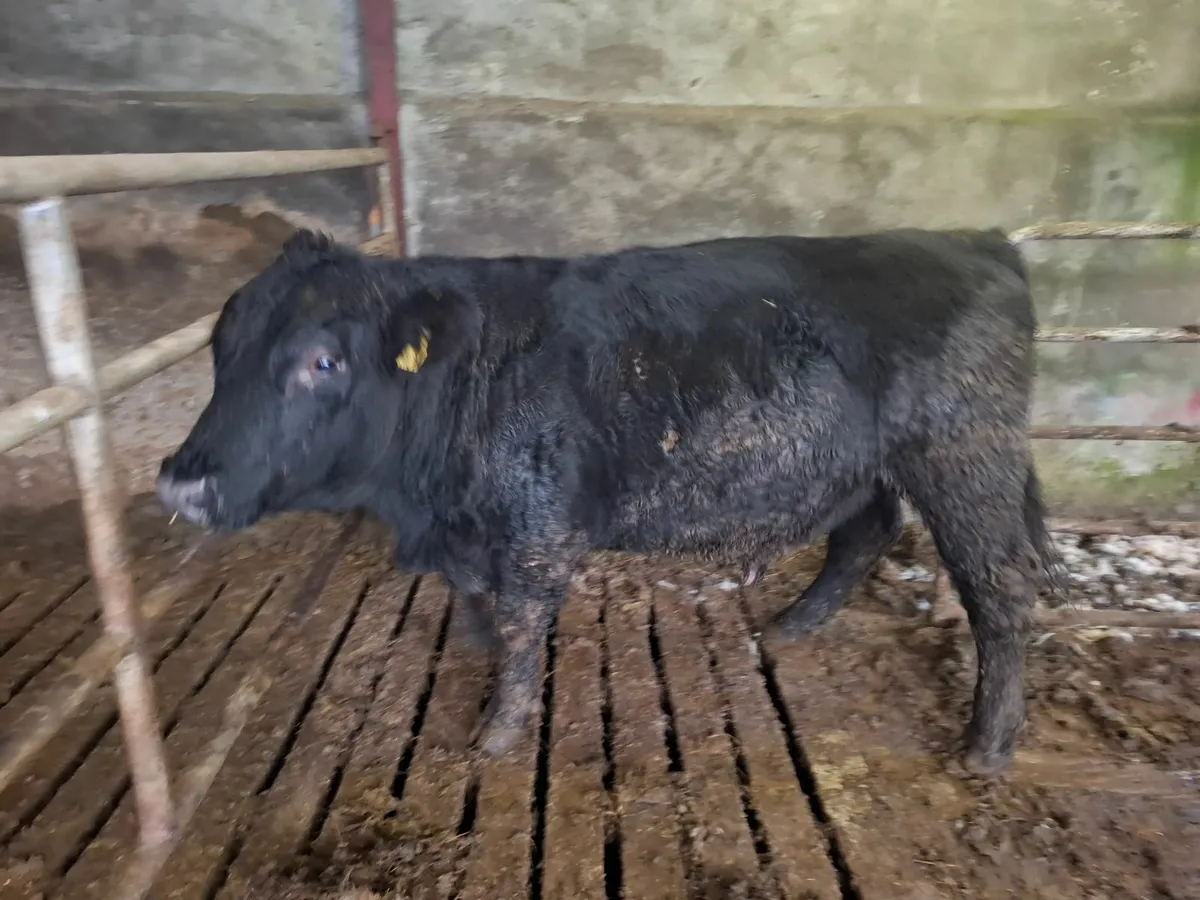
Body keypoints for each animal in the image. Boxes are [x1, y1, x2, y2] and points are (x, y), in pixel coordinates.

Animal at [157, 227, 1063, 775]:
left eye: (323, 362)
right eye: (220, 349)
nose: (182, 480)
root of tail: (973, 239)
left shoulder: (540, 528)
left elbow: (523, 623)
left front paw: (497, 729)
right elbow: (476, 602)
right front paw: (476, 650)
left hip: (965, 457)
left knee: (1000, 588)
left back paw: (987, 745)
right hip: (861, 465)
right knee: (865, 533)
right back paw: (791, 625)